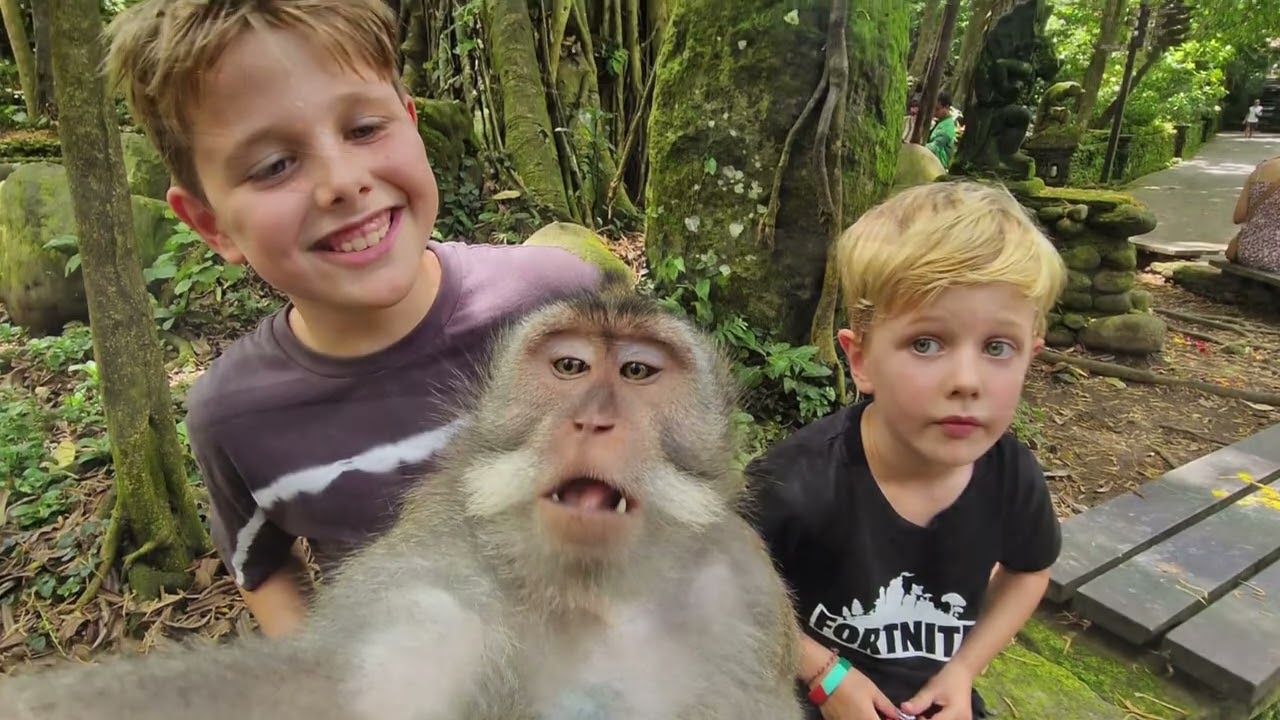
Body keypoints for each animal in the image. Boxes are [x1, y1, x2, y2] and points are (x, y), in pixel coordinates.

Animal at [0, 289, 806, 720]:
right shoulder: (433, 585)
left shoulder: (743, 600)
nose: (594, 421)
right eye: (571, 367)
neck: (590, 594)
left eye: (637, 372)